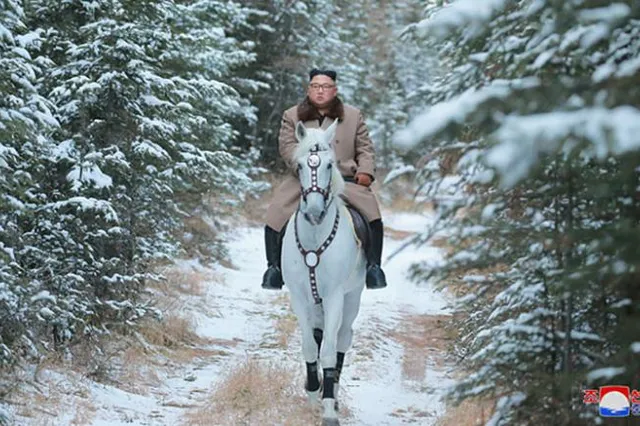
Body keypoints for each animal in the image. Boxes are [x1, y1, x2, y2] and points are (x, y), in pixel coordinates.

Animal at [282, 120, 368, 426]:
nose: (315, 211)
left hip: (352, 298)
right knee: (319, 336)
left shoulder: (334, 297)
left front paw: (329, 408)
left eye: (330, 165)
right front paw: (311, 393)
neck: (315, 236)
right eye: (299, 166)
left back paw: (334, 392)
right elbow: (310, 346)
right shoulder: (299, 297)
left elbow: (330, 351)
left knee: (342, 338)